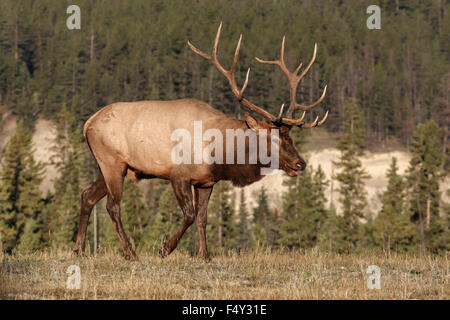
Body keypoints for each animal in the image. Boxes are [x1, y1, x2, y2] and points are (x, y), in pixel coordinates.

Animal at [73, 23, 326, 262]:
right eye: (272, 138)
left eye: (290, 137)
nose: (300, 163)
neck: (219, 154)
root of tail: (87, 124)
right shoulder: (178, 175)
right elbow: (189, 214)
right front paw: (165, 248)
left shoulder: (206, 182)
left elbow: (203, 218)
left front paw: (205, 255)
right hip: (112, 162)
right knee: (112, 206)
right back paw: (129, 253)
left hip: (109, 167)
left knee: (87, 195)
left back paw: (79, 249)